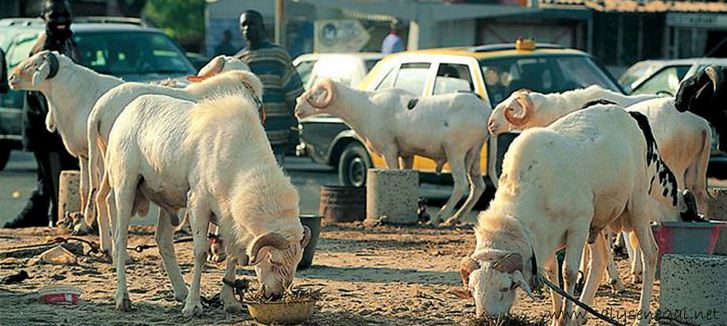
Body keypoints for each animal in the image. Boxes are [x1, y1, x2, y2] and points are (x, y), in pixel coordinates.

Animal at [105, 90, 308, 316]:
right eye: (273, 259)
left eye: (297, 262)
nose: (275, 295)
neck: (242, 163)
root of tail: (128, 109)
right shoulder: (198, 203)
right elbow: (201, 253)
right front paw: (193, 306)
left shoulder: (228, 217)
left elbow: (232, 255)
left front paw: (229, 301)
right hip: (125, 186)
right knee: (120, 239)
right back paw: (123, 299)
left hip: (168, 200)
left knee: (163, 240)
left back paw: (181, 292)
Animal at [296, 80, 494, 225]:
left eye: (313, 95)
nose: (297, 109)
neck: (364, 106)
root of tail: (487, 113)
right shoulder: (407, 154)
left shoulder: (388, 150)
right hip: (474, 154)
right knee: (478, 186)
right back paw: (456, 218)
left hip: (456, 151)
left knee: (461, 184)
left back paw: (442, 216)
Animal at [458, 105, 692, 326]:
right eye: (472, 289)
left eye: (506, 287)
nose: (485, 319)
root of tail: (625, 114)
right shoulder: (546, 236)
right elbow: (551, 272)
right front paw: (558, 317)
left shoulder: (578, 225)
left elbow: (568, 273)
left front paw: (565, 318)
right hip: (597, 222)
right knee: (599, 261)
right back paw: (581, 315)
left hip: (637, 205)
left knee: (650, 253)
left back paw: (641, 317)